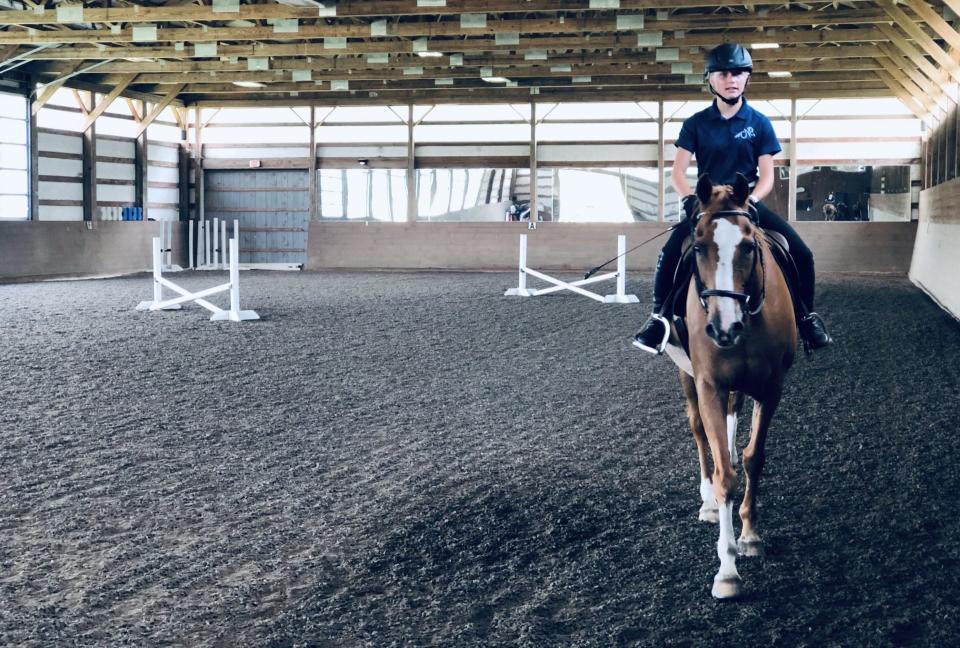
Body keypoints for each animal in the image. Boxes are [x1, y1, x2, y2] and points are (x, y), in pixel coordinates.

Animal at [664, 175, 800, 600]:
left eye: (748, 246)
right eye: (699, 246)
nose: (724, 328)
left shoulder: (771, 388)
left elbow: (754, 457)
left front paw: (750, 535)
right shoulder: (709, 384)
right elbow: (724, 471)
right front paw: (726, 571)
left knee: (729, 421)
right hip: (686, 375)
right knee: (699, 432)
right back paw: (708, 501)